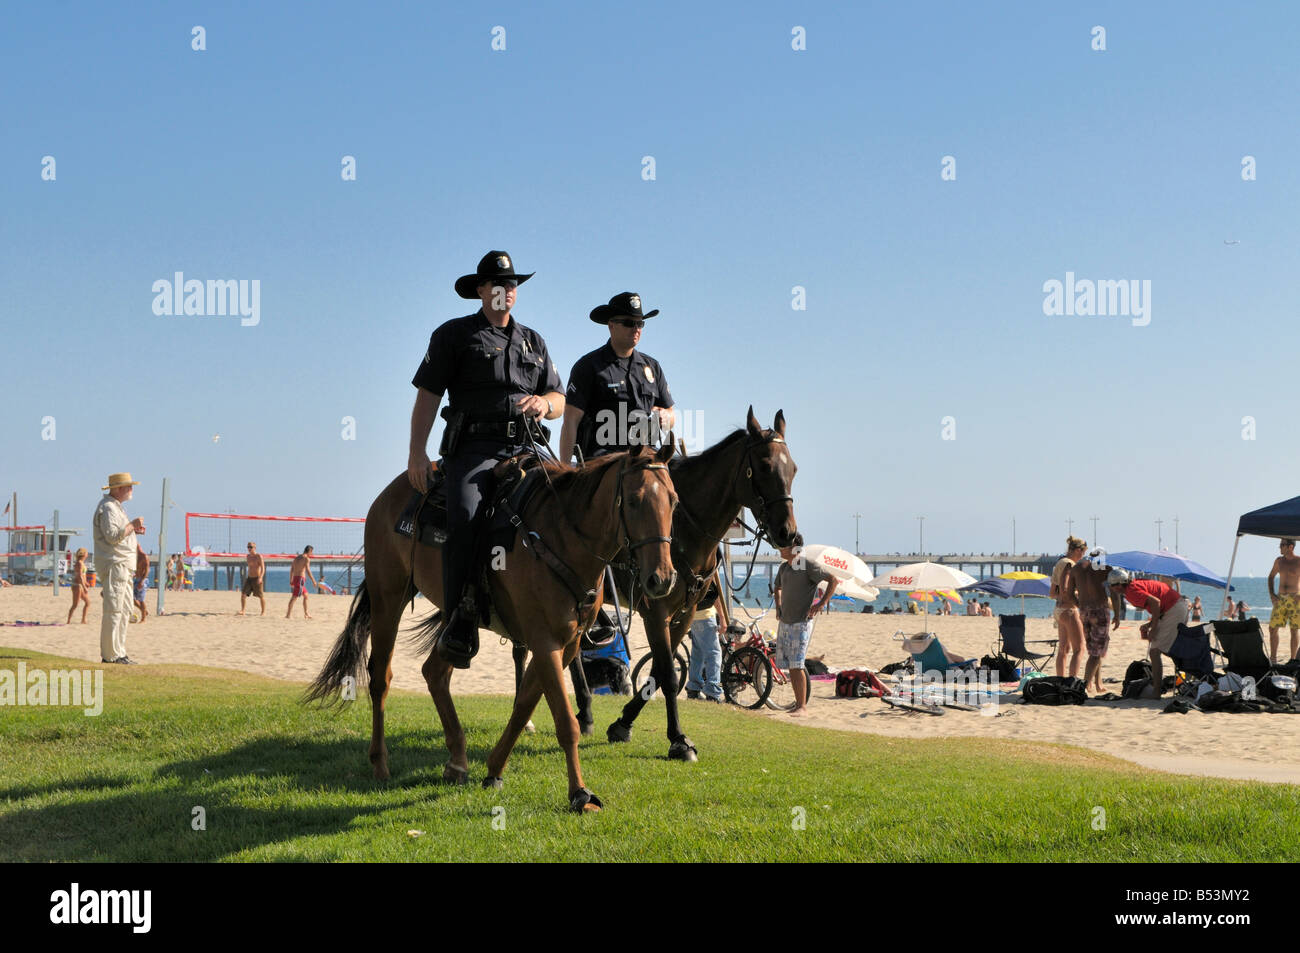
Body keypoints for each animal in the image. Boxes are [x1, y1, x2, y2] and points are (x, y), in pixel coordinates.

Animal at [299, 442, 676, 806]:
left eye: (673, 501)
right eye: (633, 500)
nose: (662, 579)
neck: (558, 538)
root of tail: (390, 494)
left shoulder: (565, 645)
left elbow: (523, 707)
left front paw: (494, 770)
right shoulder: (545, 642)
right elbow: (565, 721)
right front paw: (579, 793)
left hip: (453, 619)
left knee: (435, 672)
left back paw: (457, 760)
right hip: (388, 598)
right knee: (381, 678)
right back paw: (380, 762)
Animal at [512, 408, 795, 759]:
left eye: (793, 469)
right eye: (766, 467)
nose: (788, 533)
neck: (684, 529)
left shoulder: (685, 612)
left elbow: (662, 671)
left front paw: (622, 723)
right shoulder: (655, 611)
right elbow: (668, 674)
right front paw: (678, 739)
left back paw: (585, 713)